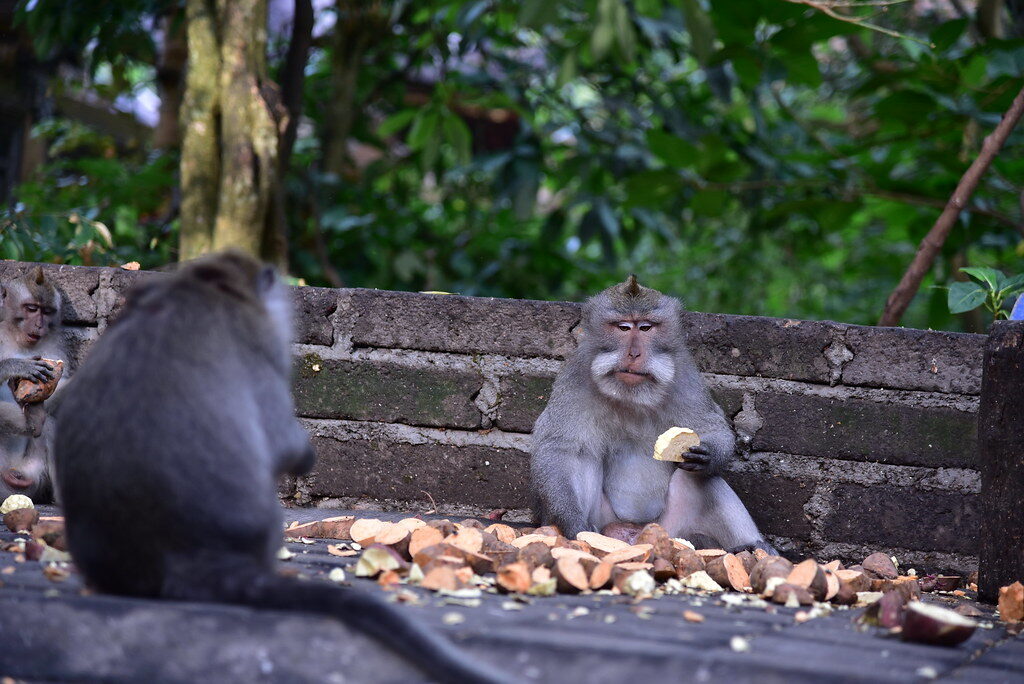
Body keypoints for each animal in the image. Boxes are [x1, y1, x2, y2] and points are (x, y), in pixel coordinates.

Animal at [0, 266, 70, 502]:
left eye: (47, 311)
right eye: (31, 308)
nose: (39, 325)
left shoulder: (56, 347)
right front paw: (16, 366)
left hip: (33, 477)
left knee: (50, 422)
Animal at [530, 275, 777, 555]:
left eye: (646, 328)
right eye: (624, 327)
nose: (634, 353)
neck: (632, 395)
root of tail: (633, 534)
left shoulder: (686, 378)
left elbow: (712, 428)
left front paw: (709, 454)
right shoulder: (574, 378)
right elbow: (560, 449)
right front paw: (573, 523)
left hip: (673, 530)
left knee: (700, 479)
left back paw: (754, 546)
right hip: (606, 522)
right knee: (583, 457)